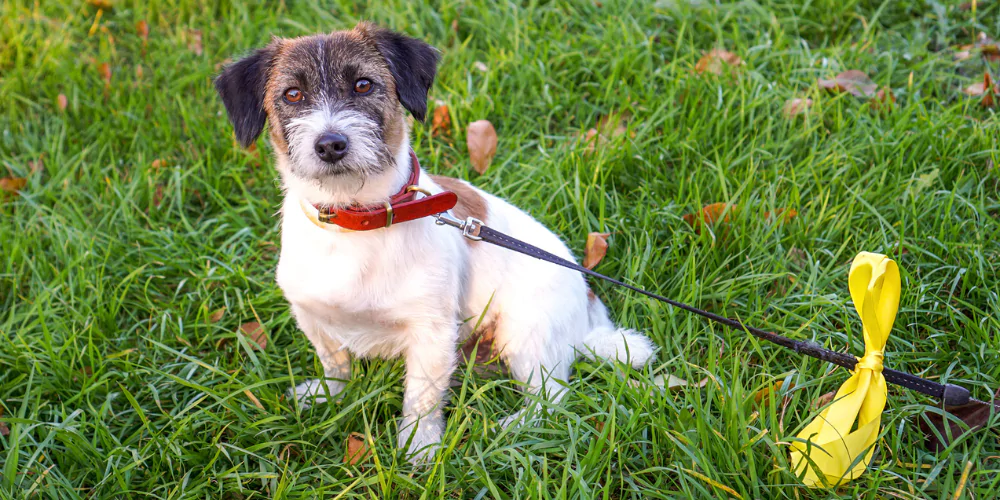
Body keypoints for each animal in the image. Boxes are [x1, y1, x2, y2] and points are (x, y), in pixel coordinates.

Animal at [215, 22, 656, 460]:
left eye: (363, 85)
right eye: (293, 94)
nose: (330, 144)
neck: (355, 222)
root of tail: (588, 312)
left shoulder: (431, 331)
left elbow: (422, 396)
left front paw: (419, 448)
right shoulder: (312, 314)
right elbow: (335, 363)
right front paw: (328, 396)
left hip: (525, 334)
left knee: (552, 396)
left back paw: (513, 428)